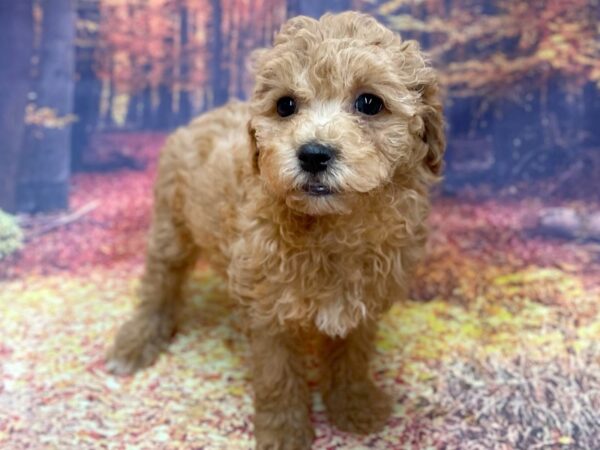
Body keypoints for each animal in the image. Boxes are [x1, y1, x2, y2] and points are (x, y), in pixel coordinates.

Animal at [108, 11, 446, 450]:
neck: (332, 227)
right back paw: (137, 341)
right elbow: (278, 377)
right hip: (171, 224)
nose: (314, 154)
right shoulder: (269, 309)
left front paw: (354, 404)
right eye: (286, 106)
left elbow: (352, 357)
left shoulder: (363, 303)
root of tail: (202, 117)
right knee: (159, 284)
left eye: (369, 103)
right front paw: (285, 431)